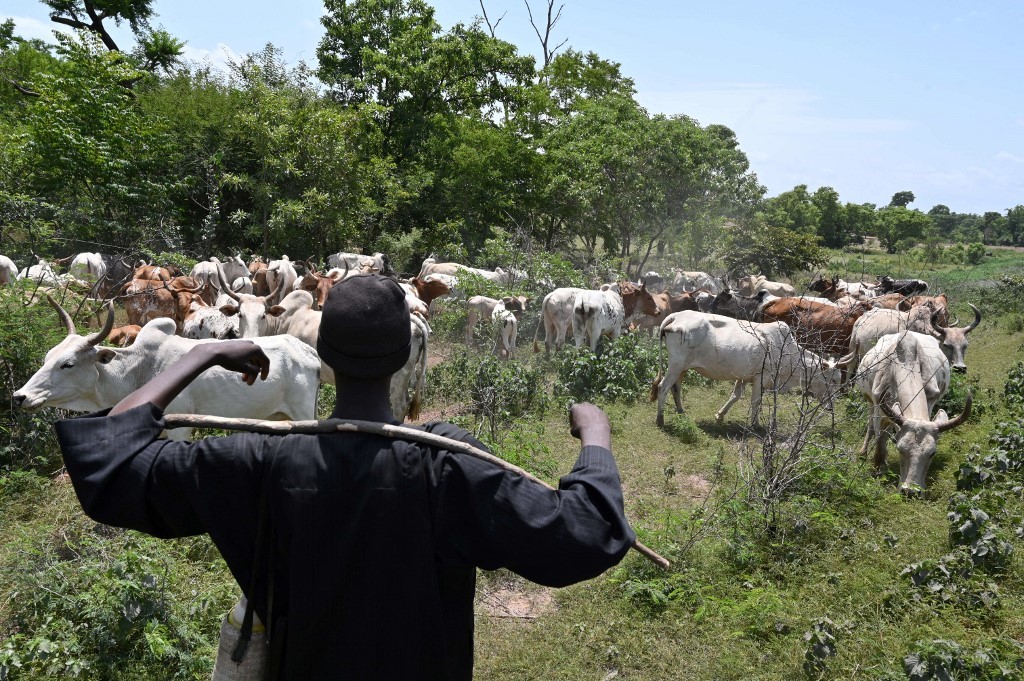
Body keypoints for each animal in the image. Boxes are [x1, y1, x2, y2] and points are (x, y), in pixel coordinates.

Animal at [12, 299, 319, 440]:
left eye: (68, 364)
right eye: (46, 358)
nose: (20, 397)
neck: (136, 371)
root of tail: (307, 351)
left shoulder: (180, 428)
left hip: (304, 415)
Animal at [651, 311, 843, 428]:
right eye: (833, 380)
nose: (831, 406)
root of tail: (676, 316)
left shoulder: (744, 376)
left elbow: (735, 396)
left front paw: (720, 415)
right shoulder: (761, 377)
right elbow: (756, 401)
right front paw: (755, 424)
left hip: (682, 368)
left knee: (675, 388)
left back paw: (681, 413)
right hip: (676, 365)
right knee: (663, 387)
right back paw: (660, 420)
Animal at [856, 329, 966, 489]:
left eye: (932, 453)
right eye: (900, 449)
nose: (911, 490)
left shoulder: (929, 402)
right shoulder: (879, 409)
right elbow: (879, 446)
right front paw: (879, 471)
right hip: (870, 402)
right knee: (870, 425)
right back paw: (863, 452)